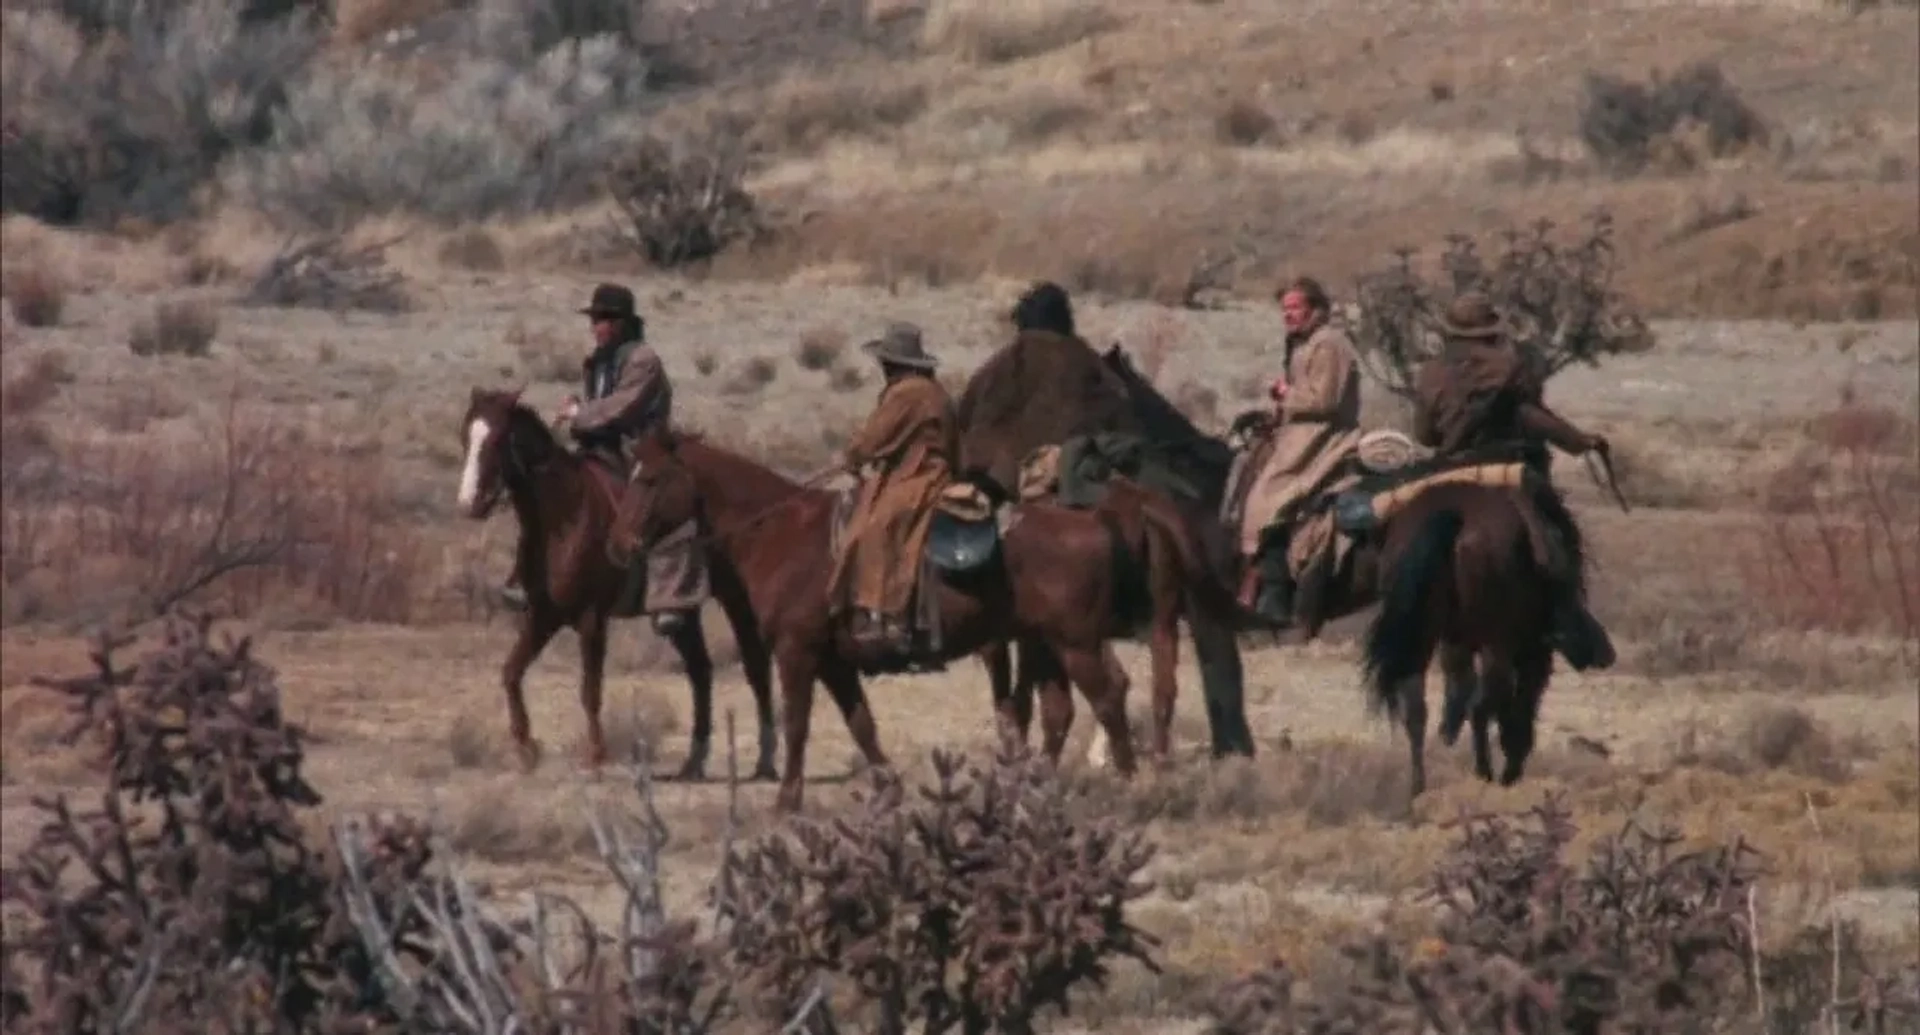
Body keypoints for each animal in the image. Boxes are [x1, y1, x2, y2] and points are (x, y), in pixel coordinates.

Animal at [453, 393, 775, 783]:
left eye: (499, 439)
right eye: (466, 436)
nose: (470, 503)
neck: (564, 517)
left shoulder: (592, 619)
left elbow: (590, 690)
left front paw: (595, 757)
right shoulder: (544, 615)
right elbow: (511, 672)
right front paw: (526, 748)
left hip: (736, 600)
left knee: (755, 666)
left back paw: (765, 761)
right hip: (683, 614)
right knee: (701, 671)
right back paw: (694, 763)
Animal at [606, 424, 1221, 814]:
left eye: (650, 479)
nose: (621, 547)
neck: (782, 534)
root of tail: (1097, 519)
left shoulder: (797, 654)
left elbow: (798, 722)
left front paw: (786, 799)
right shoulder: (834, 662)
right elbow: (861, 723)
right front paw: (888, 787)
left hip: (1076, 643)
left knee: (1110, 696)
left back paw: (1130, 782)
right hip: (1047, 644)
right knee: (1064, 708)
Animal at [1351, 481, 1589, 798]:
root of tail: (1453, 514)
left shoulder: (1458, 642)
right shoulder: (1526, 649)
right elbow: (1514, 703)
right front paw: (1507, 766)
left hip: (1424, 638)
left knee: (1416, 709)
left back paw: (1419, 787)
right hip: (1495, 643)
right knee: (1483, 702)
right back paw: (1485, 771)